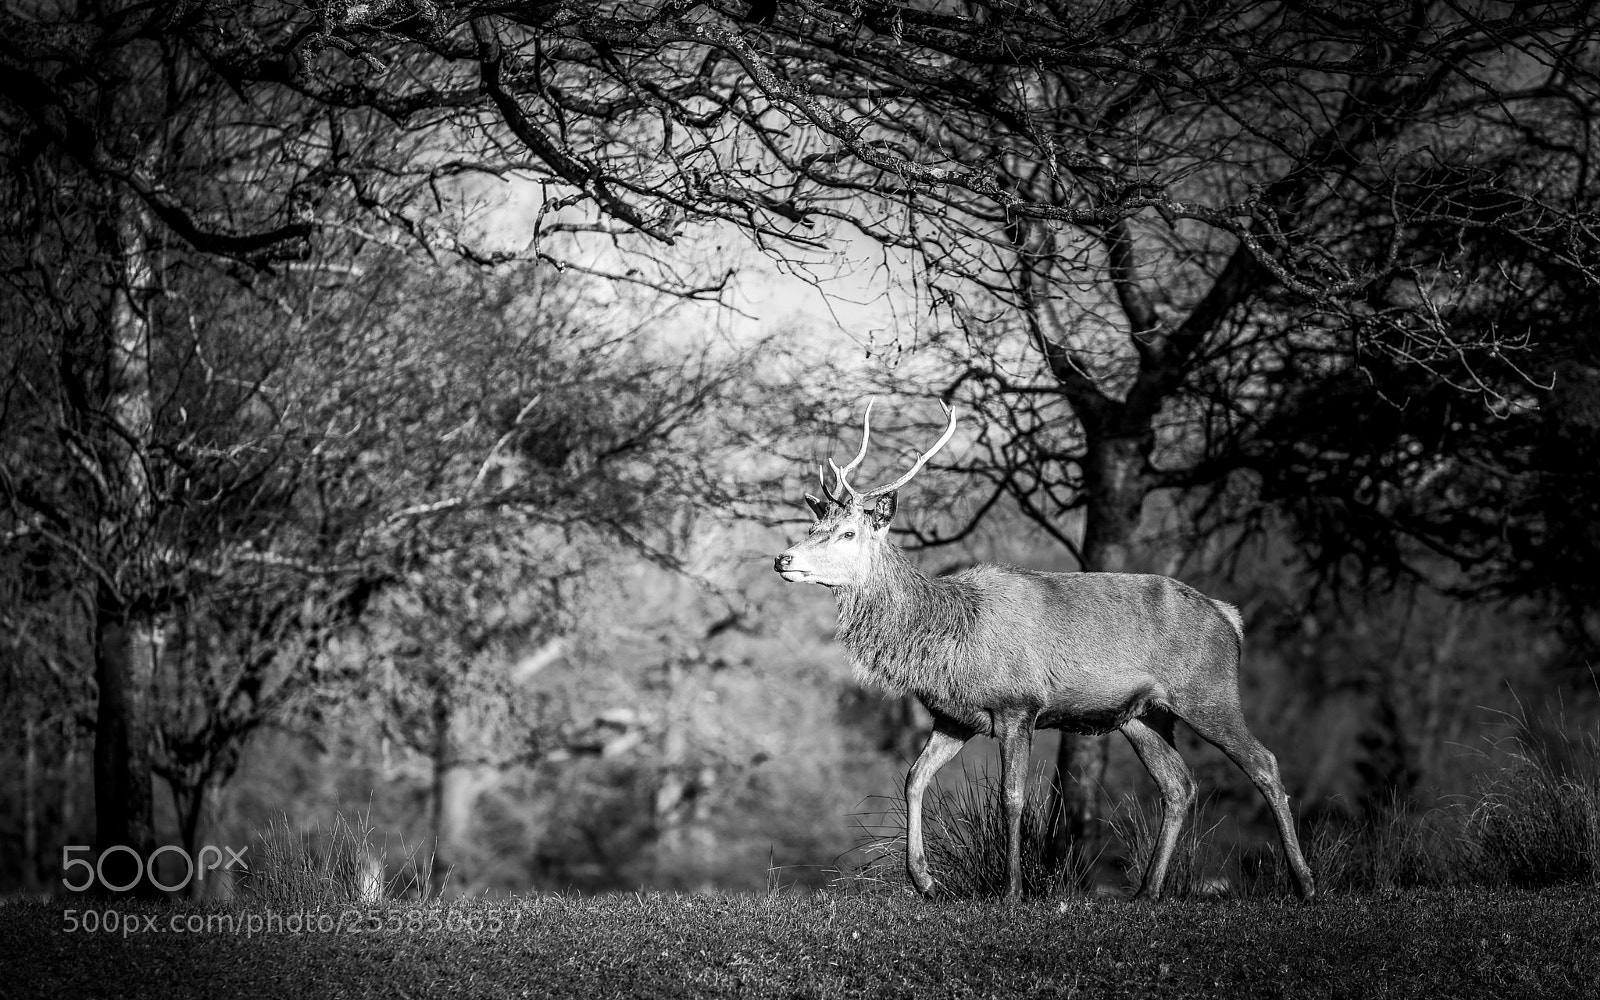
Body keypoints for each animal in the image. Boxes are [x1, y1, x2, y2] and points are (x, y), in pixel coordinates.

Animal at [774, 400, 1315, 901]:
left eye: (848, 533)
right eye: (813, 528)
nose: (783, 557)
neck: (947, 642)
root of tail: (1230, 617)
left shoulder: (1019, 705)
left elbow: (1011, 797)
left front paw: (1011, 890)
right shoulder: (954, 716)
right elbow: (913, 778)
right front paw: (925, 882)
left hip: (1207, 690)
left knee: (1264, 762)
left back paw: (1304, 883)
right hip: (1143, 714)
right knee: (1178, 784)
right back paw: (1146, 892)